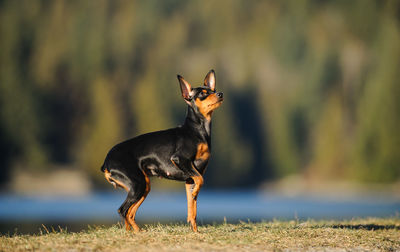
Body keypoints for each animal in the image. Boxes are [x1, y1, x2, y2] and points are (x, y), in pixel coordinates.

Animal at [101, 70, 223, 231]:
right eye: (203, 94)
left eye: (213, 90)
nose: (220, 94)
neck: (198, 130)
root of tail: (106, 162)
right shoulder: (181, 160)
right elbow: (200, 181)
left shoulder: (189, 180)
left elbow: (193, 210)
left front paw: (195, 232)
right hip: (137, 184)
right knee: (123, 210)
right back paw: (134, 233)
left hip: (143, 186)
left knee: (130, 213)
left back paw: (137, 233)